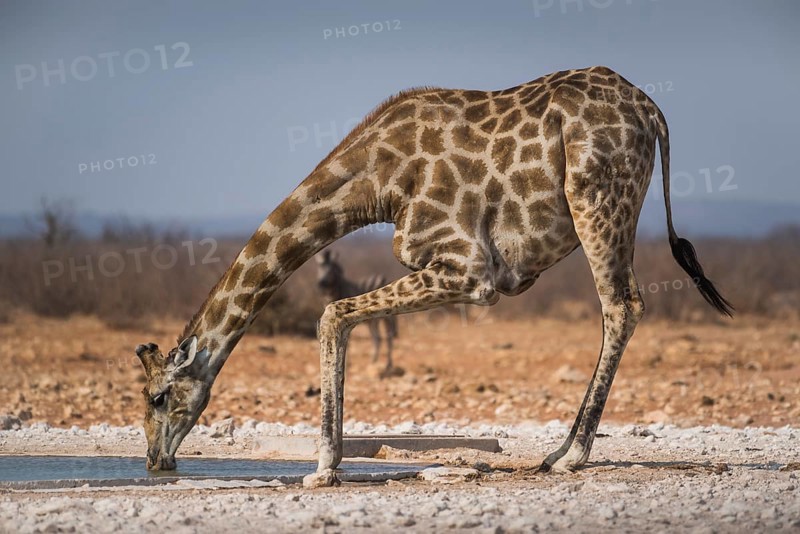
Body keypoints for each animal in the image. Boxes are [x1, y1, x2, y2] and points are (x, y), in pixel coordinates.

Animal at [134, 66, 732, 484]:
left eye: (158, 397)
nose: (155, 460)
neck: (377, 180)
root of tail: (652, 111)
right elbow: (341, 319)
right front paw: (331, 463)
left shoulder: (469, 271)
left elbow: (331, 314)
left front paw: (323, 468)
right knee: (621, 307)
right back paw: (558, 452)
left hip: (597, 199)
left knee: (622, 306)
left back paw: (572, 457)